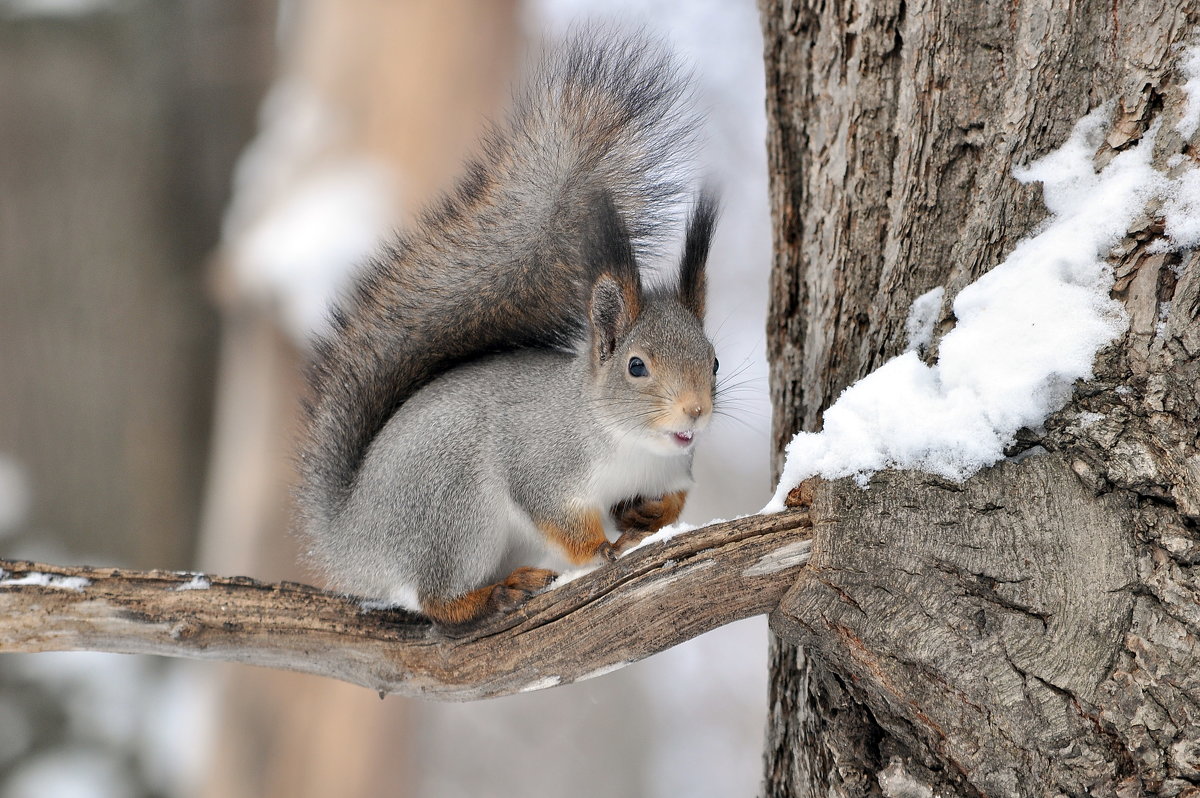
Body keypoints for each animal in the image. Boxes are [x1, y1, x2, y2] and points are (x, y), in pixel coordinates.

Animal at [300, 32, 720, 628]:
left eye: (713, 360)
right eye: (636, 366)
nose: (696, 411)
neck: (630, 443)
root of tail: (353, 534)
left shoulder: (674, 469)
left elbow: (676, 500)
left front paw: (646, 517)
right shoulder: (542, 462)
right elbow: (556, 516)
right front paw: (599, 550)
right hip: (455, 511)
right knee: (438, 599)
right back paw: (494, 594)